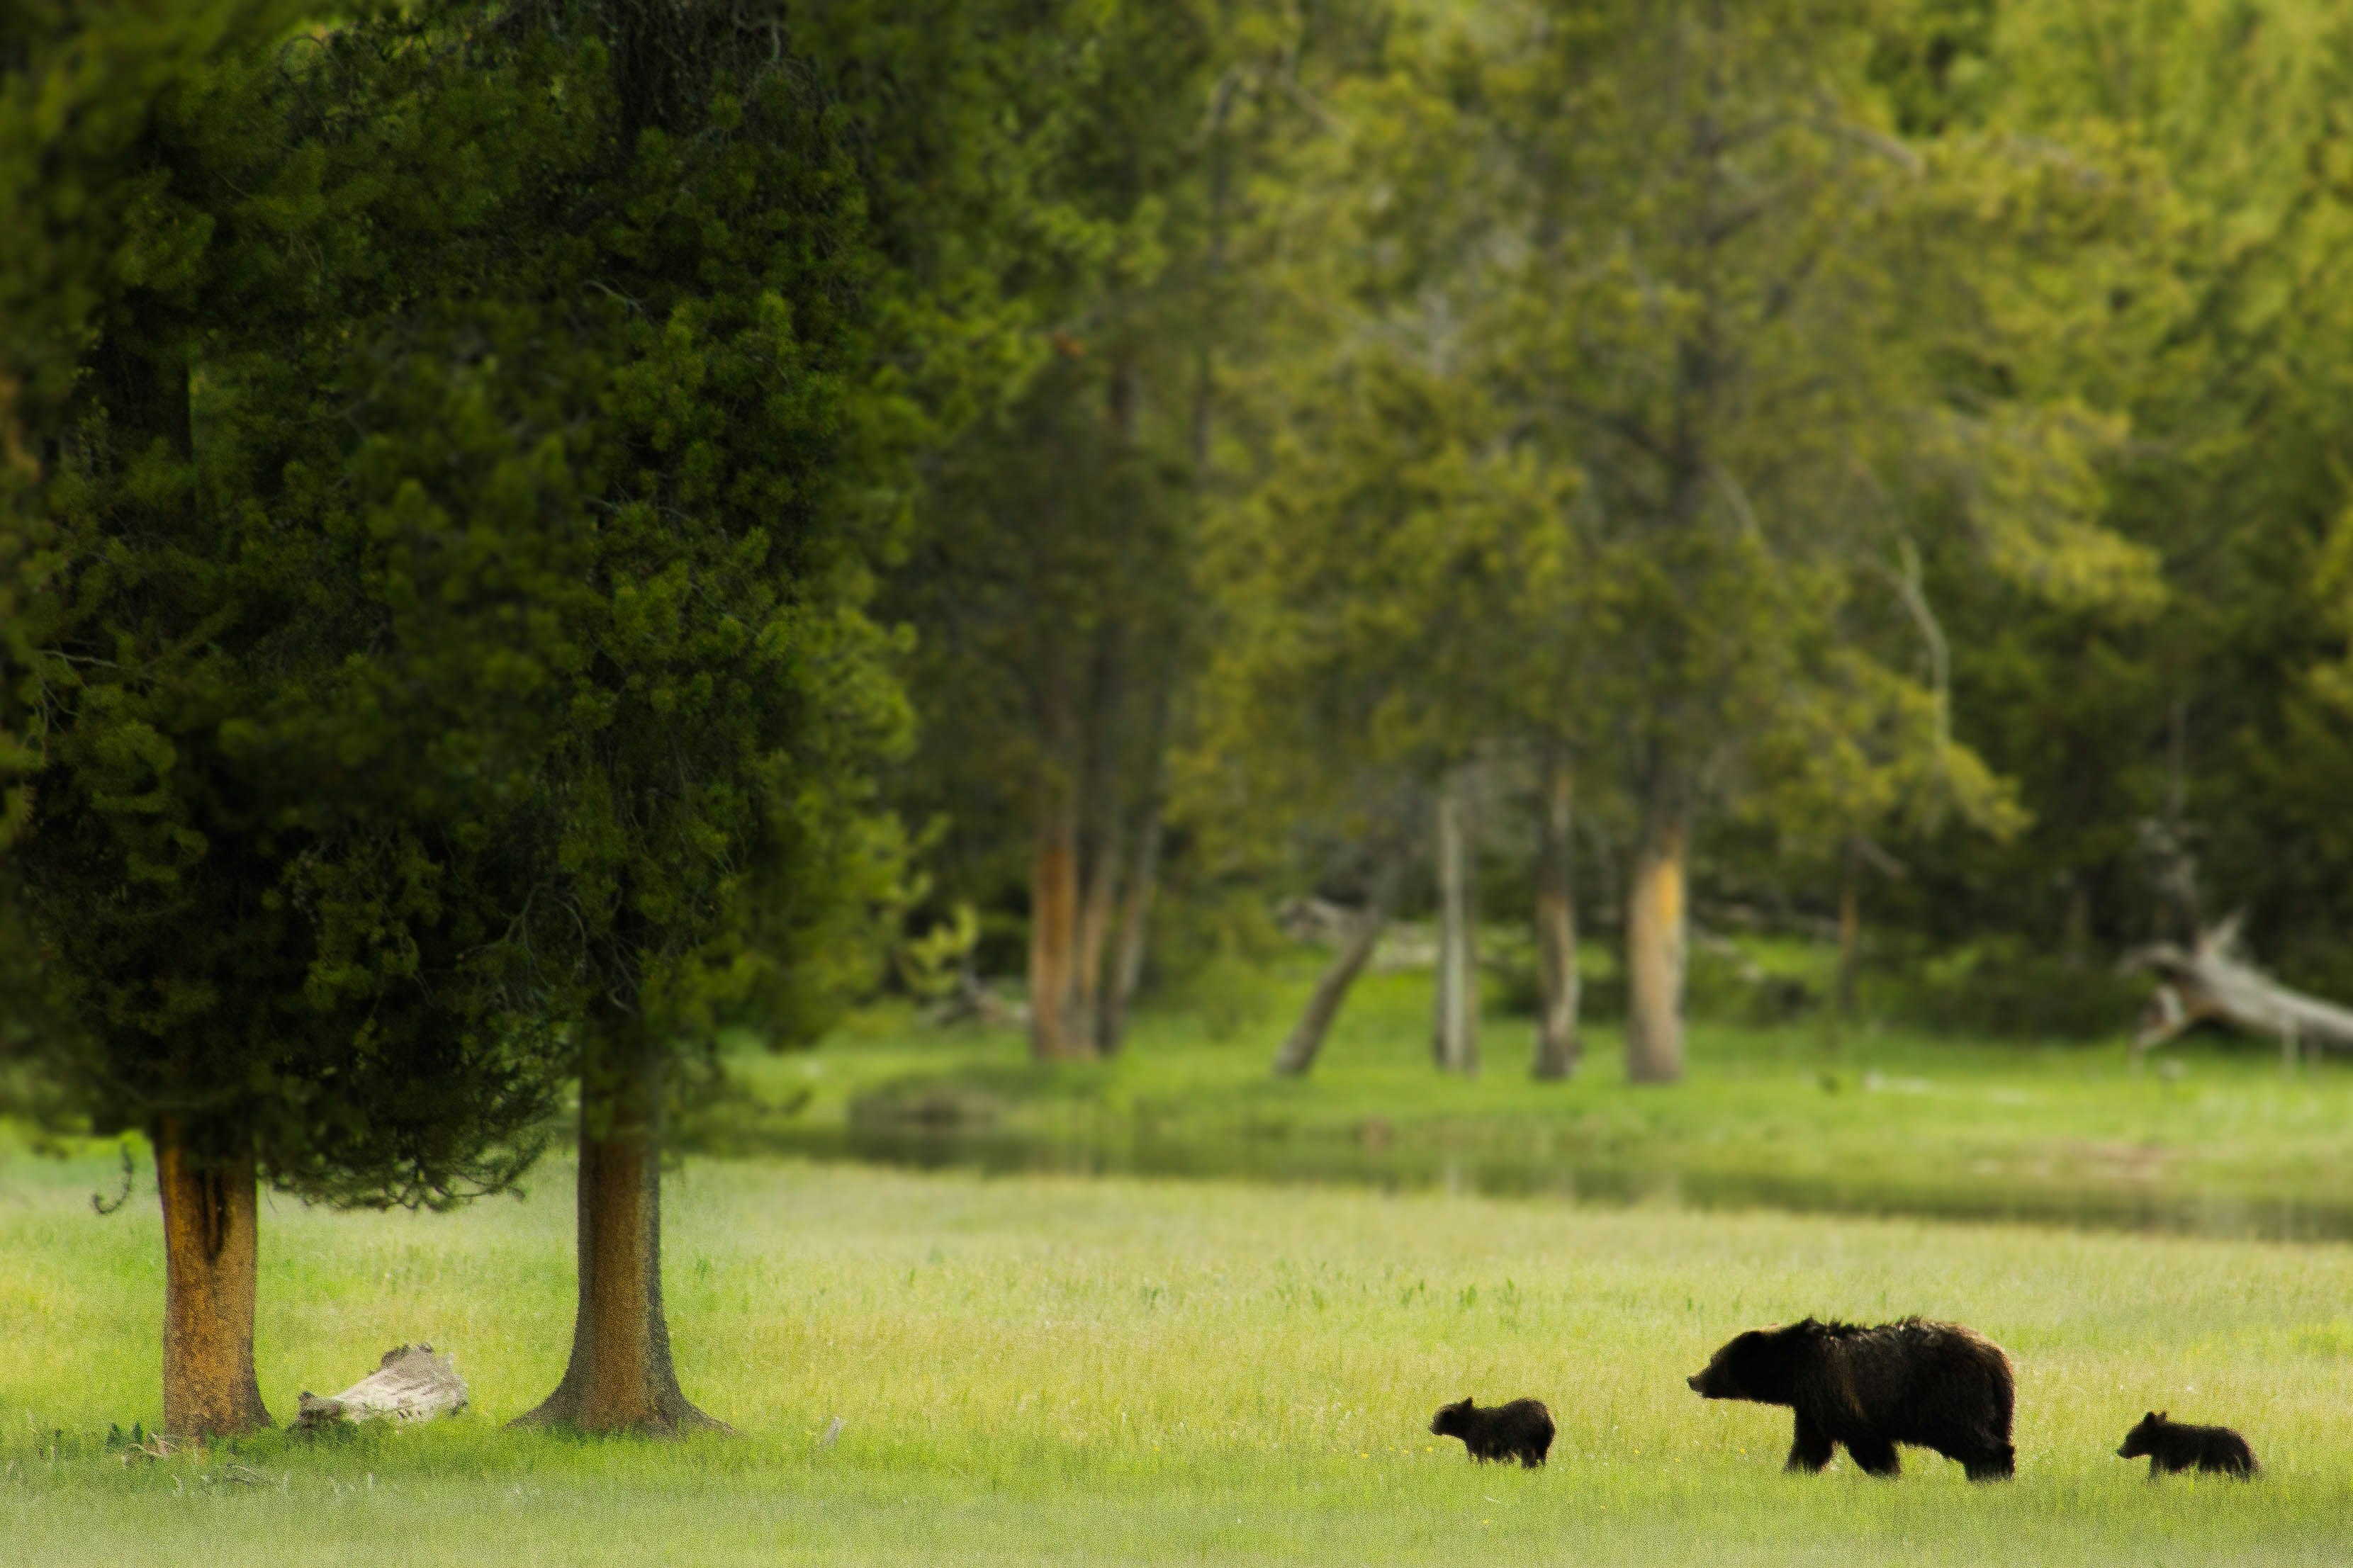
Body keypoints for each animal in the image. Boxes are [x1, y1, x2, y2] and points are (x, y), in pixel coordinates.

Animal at [1685, 1316, 2014, 1476]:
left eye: (1714, 1360)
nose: (1692, 1379)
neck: (1795, 1368)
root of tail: (1996, 1356)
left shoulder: (1834, 1391)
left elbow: (1864, 1439)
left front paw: (1888, 1474)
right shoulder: (1811, 1406)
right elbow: (1811, 1445)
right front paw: (1793, 1472)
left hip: (1950, 1395)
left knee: (1972, 1437)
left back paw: (1991, 1474)